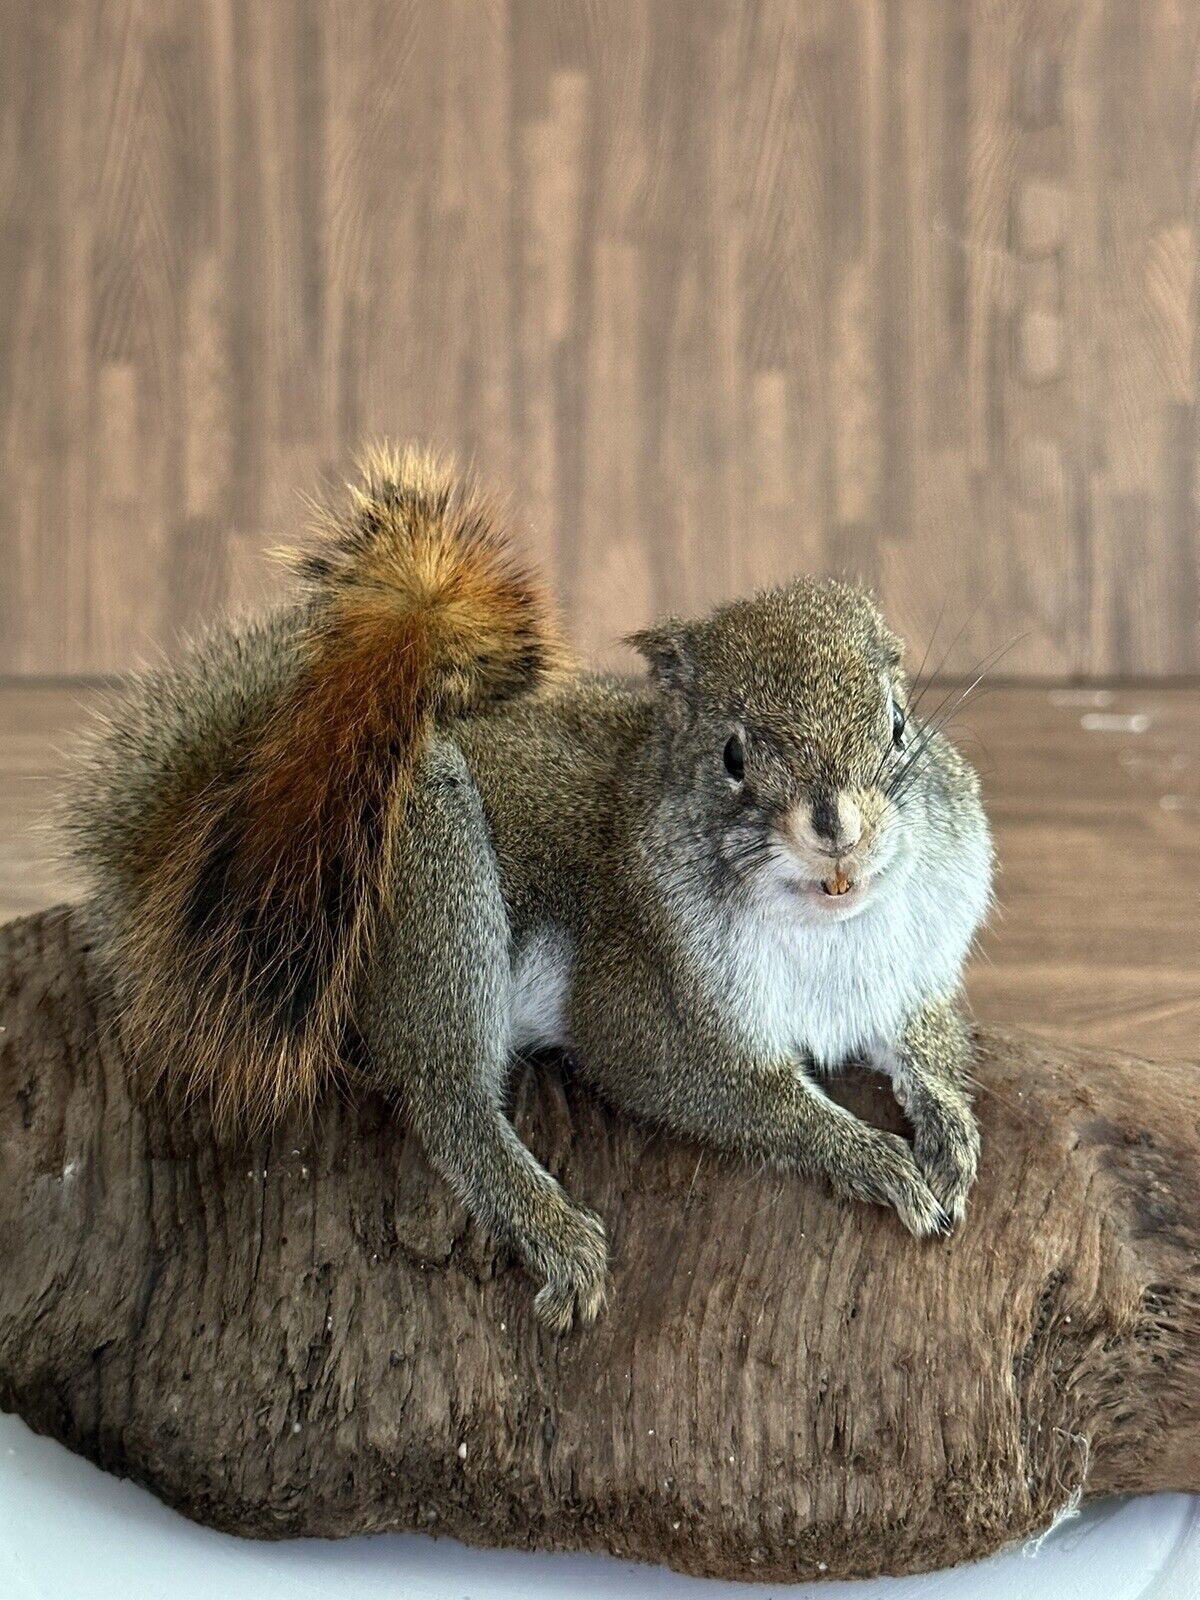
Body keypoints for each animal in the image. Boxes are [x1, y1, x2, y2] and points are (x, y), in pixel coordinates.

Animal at [64, 445, 994, 1333]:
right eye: (732, 756)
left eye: (899, 724)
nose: (838, 828)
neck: (830, 928)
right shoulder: (641, 1011)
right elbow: (740, 1096)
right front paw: (869, 1157)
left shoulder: (902, 970)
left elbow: (923, 1038)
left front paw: (946, 1120)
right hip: (431, 873)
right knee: (445, 1095)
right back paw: (544, 1222)